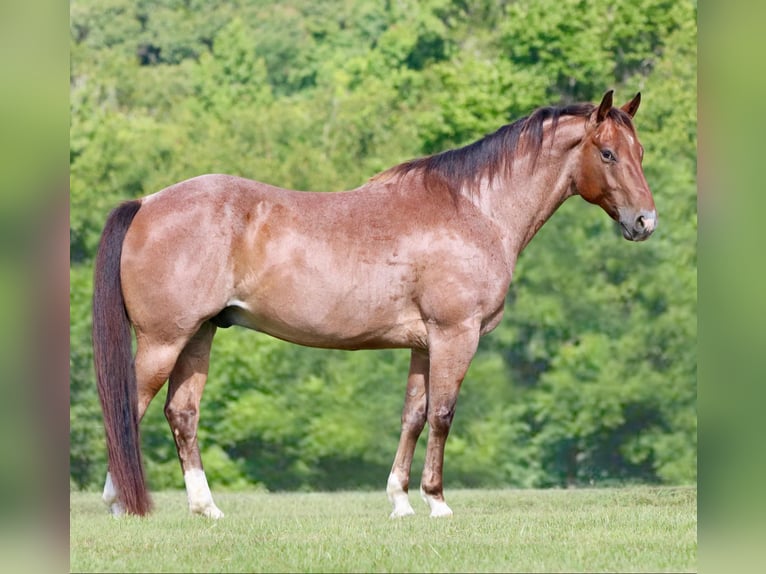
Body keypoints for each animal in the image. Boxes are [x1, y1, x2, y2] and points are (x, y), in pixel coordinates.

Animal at [93, 90, 656, 519]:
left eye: (641, 151)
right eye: (607, 153)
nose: (645, 222)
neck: (474, 210)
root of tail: (146, 203)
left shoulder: (424, 344)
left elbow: (413, 415)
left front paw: (401, 502)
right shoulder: (455, 334)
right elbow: (443, 415)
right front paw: (437, 502)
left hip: (200, 334)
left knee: (182, 414)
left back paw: (205, 508)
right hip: (164, 341)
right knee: (128, 408)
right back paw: (121, 503)